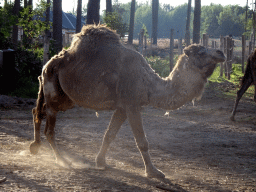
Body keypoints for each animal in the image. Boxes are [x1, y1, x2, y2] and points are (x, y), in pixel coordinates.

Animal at [30, 24, 225, 178]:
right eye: (201, 52)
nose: (221, 52)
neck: (148, 84)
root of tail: (48, 64)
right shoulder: (132, 104)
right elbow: (142, 141)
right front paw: (154, 172)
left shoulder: (122, 107)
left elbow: (109, 135)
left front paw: (101, 162)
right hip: (54, 92)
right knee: (48, 125)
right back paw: (62, 159)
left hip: (65, 96)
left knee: (37, 111)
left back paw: (35, 147)